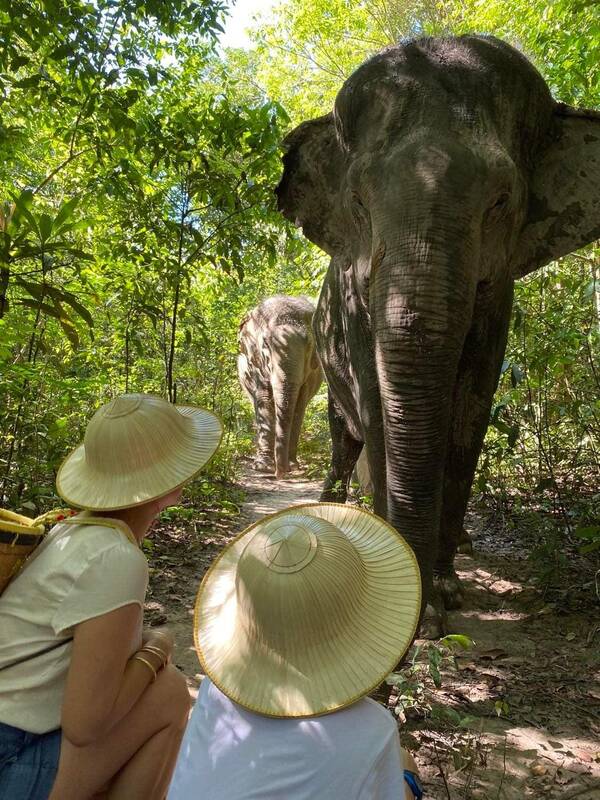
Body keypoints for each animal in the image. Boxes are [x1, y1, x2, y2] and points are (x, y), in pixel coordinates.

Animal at [238, 296, 324, 478]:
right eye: (265, 344)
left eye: (309, 345)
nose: (280, 474)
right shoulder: (256, 364)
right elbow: (264, 400)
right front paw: (263, 467)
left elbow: (299, 406)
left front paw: (293, 466)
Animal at [278, 34, 600, 632]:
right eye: (358, 202)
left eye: (501, 200)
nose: (421, 622)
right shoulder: (353, 305)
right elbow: (377, 405)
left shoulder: (499, 295)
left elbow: (471, 409)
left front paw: (446, 589)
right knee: (344, 435)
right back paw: (336, 505)